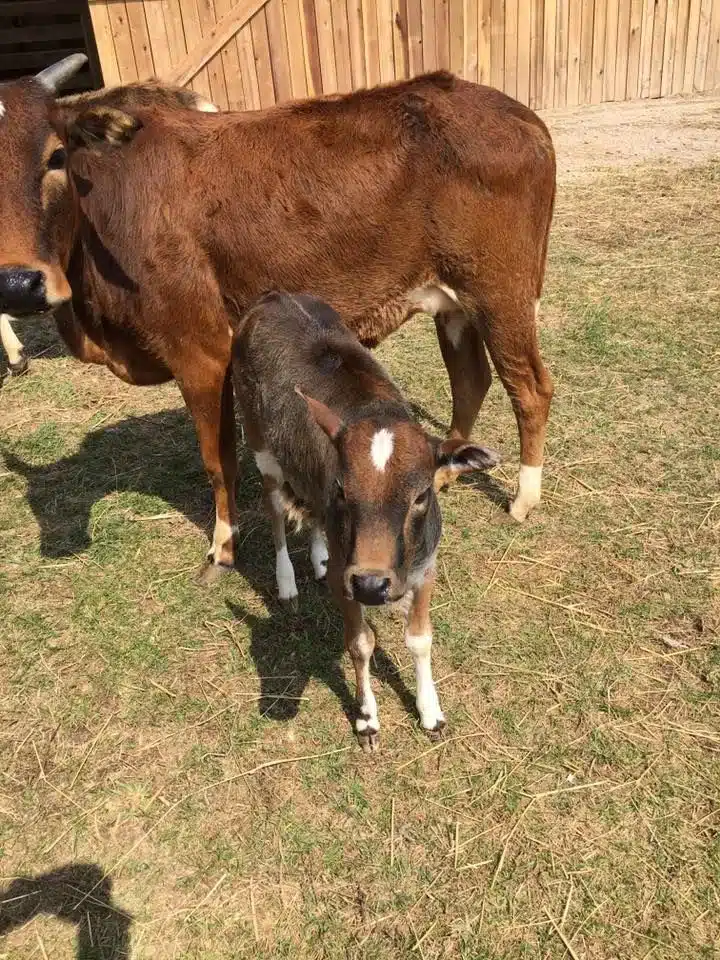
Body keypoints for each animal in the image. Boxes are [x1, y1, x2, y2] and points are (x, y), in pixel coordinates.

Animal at [1, 56, 555, 579]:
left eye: (56, 156)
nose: (16, 283)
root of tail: (519, 114)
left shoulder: (201, 350)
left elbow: (218, 460)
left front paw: (223, 544)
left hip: (500, 293)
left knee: (530, 388)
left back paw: (524, 498)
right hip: (454, 301)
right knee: (471, 380)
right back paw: (442, 469)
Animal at [232, 291, 501, 749]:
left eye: (421, 495)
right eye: (343, 489)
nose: (372, 584)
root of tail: (272, 296)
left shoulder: (426, 565)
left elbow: (420, 638)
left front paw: (431, 712)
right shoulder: (348, 572)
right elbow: (359, 643)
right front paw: (367, 718)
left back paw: (318, 557)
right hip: (259, 440)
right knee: (275, 506)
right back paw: (287, 580)